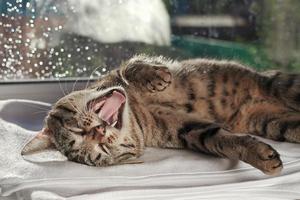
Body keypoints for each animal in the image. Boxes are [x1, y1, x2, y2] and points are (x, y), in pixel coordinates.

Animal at [21, 55, 300, 175]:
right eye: (102, 150)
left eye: (77, 130)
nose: (98, 131)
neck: (137, 111)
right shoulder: (188, 130)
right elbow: (220, 139)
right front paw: (261, 156)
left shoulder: (115, 74)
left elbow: (130, 66)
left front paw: (155, 76)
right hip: (276, 123)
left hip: (282, 85)